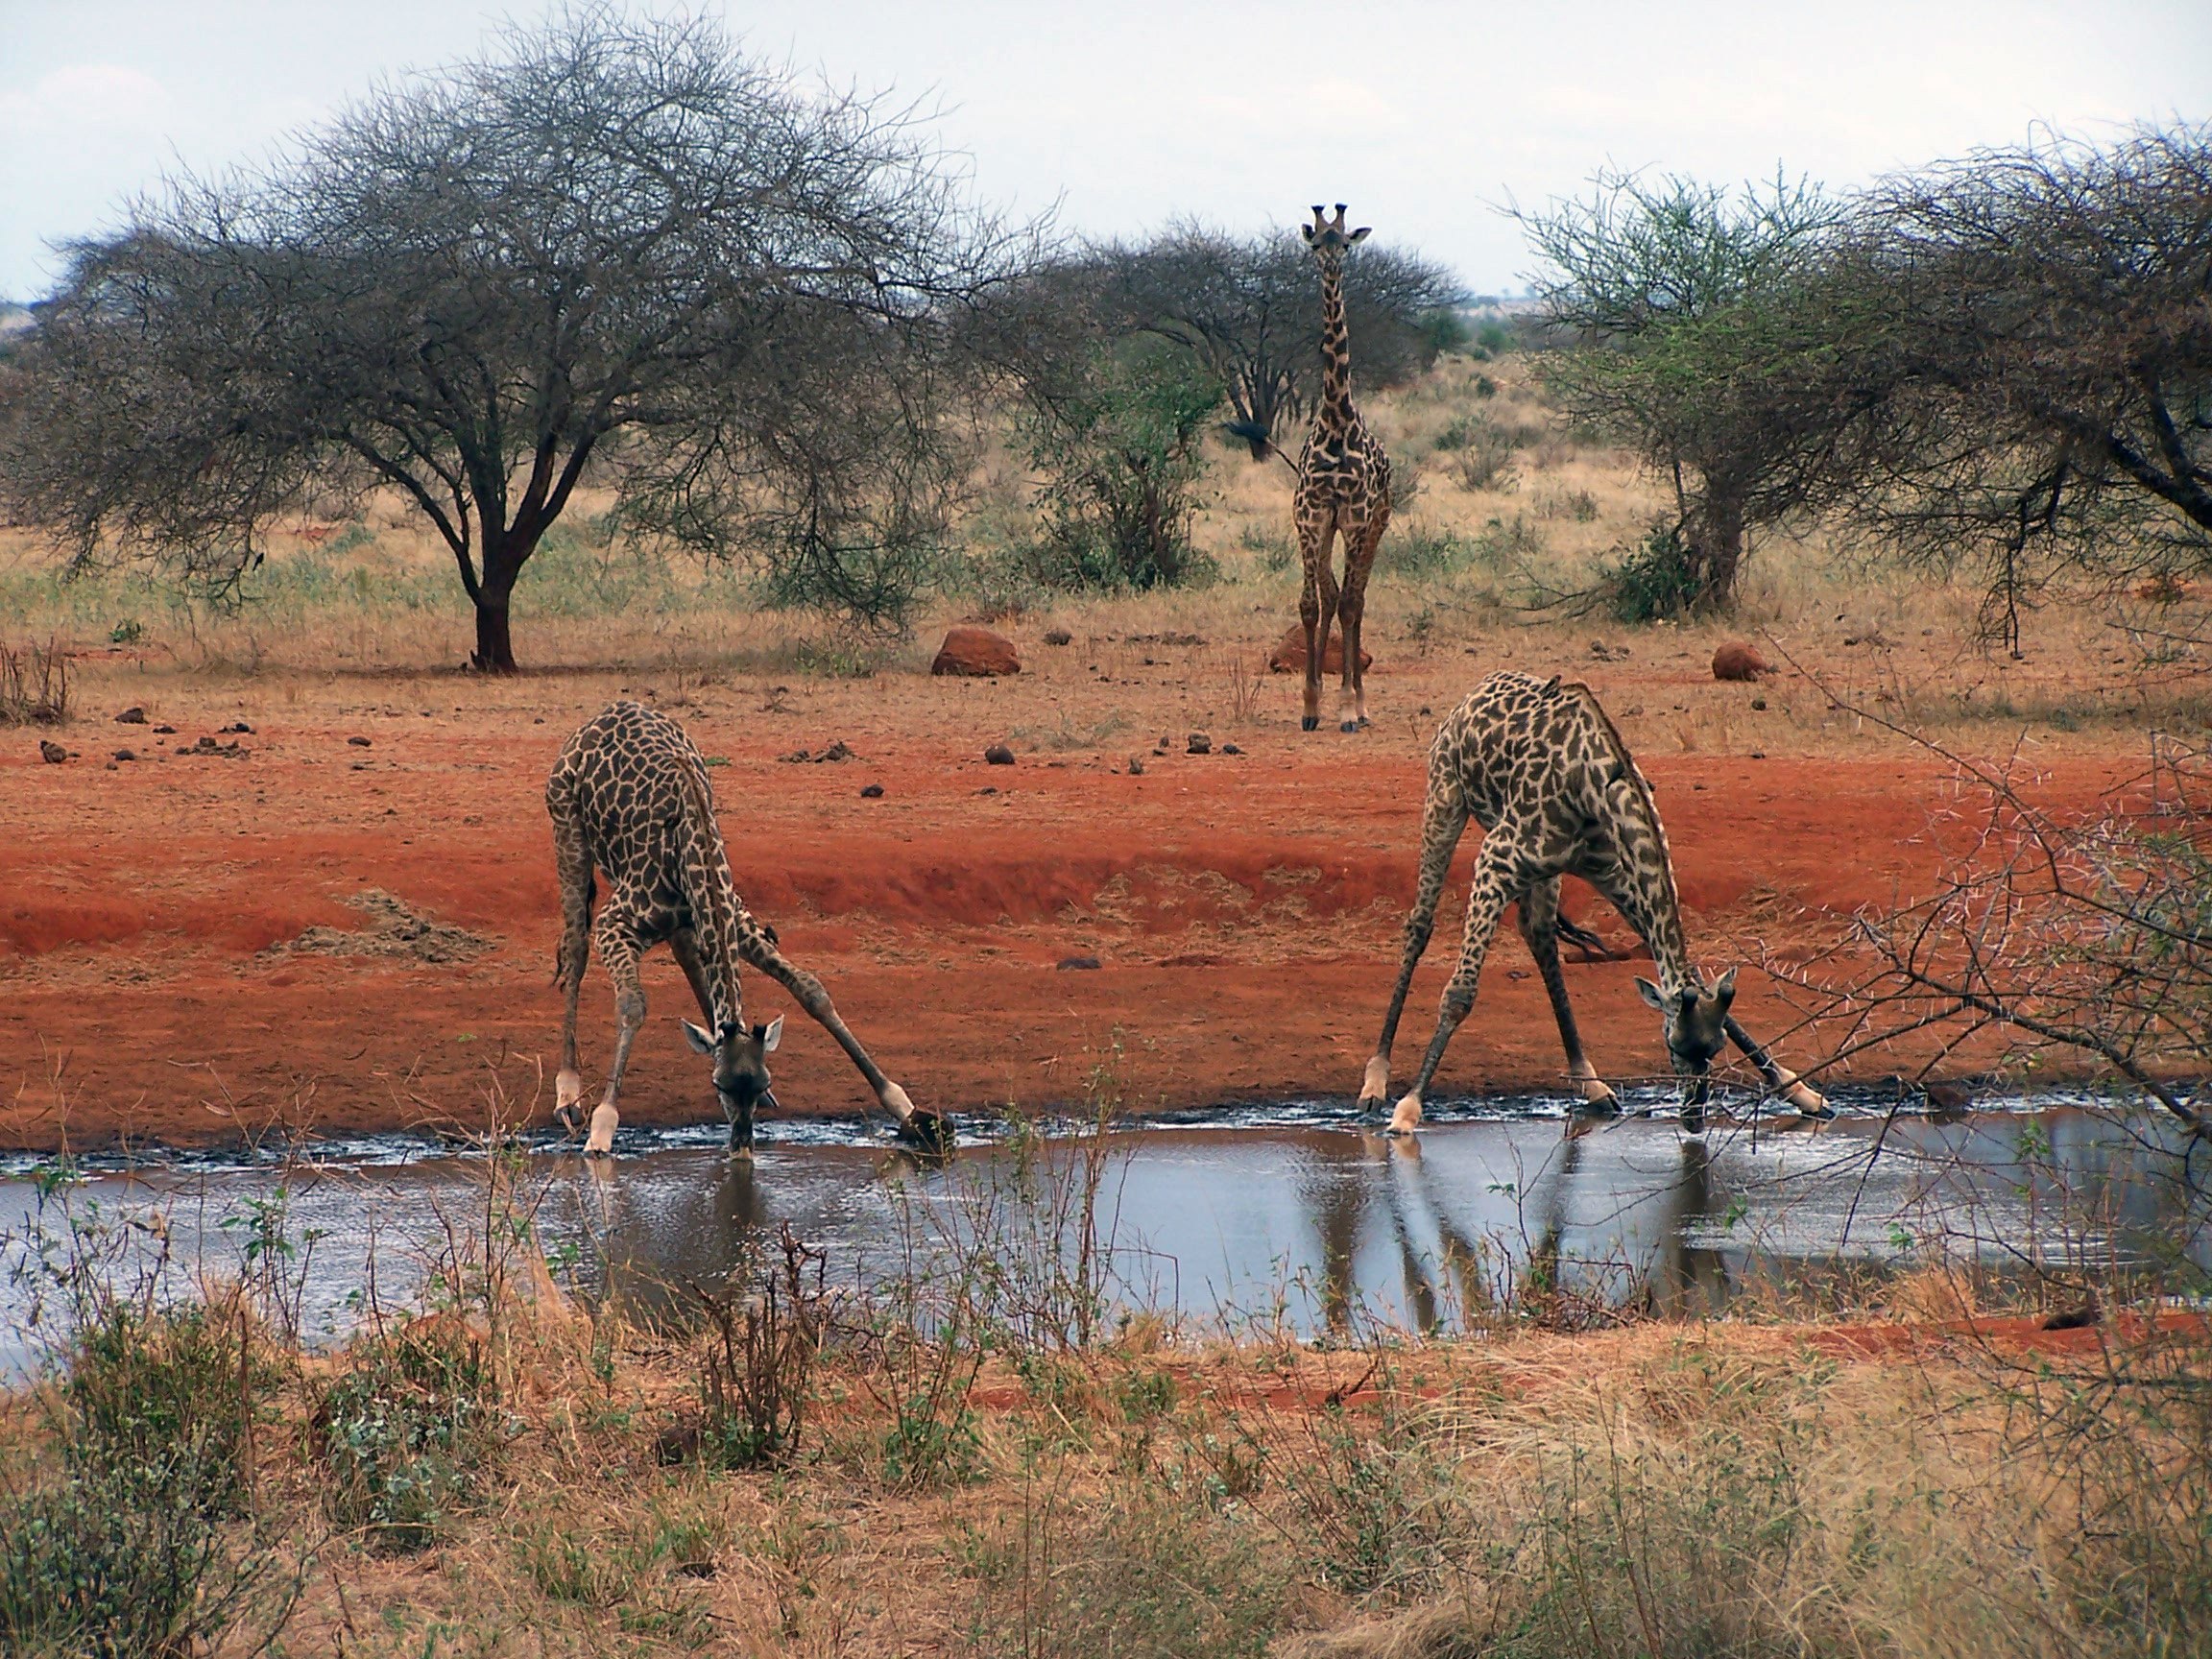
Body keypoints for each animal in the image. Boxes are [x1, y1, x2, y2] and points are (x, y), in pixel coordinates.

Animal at [548, 703, 947, 1159]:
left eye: (761, 1084)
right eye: (719, 1087)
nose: (741, 1147)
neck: (692, 848)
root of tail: (605, 713)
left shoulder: (736, 920)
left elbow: (811, 990)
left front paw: (903, 1105)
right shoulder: (616, 923)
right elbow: (632, 1004)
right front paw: (602, 1125)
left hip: (685, 919)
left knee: (687, 952)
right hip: (568, 832)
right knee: (575, 948)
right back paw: (568, 1094)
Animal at [1344, 667, 1831, 1141]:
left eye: (1713, 1049)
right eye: (1673, 1045)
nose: (1693, 1119)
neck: (1589, 784)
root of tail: (1473, 692)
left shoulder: (1615, 872)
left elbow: (1690, 974)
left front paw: (1801, 1092)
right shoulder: (1495, 862)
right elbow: (1460, 993)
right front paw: (1409, 1109)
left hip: (1550, 871)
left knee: (1539, 936)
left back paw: (1591, 1082)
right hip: (1445, 801)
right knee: (1420, 925)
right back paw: (1375, 1081)